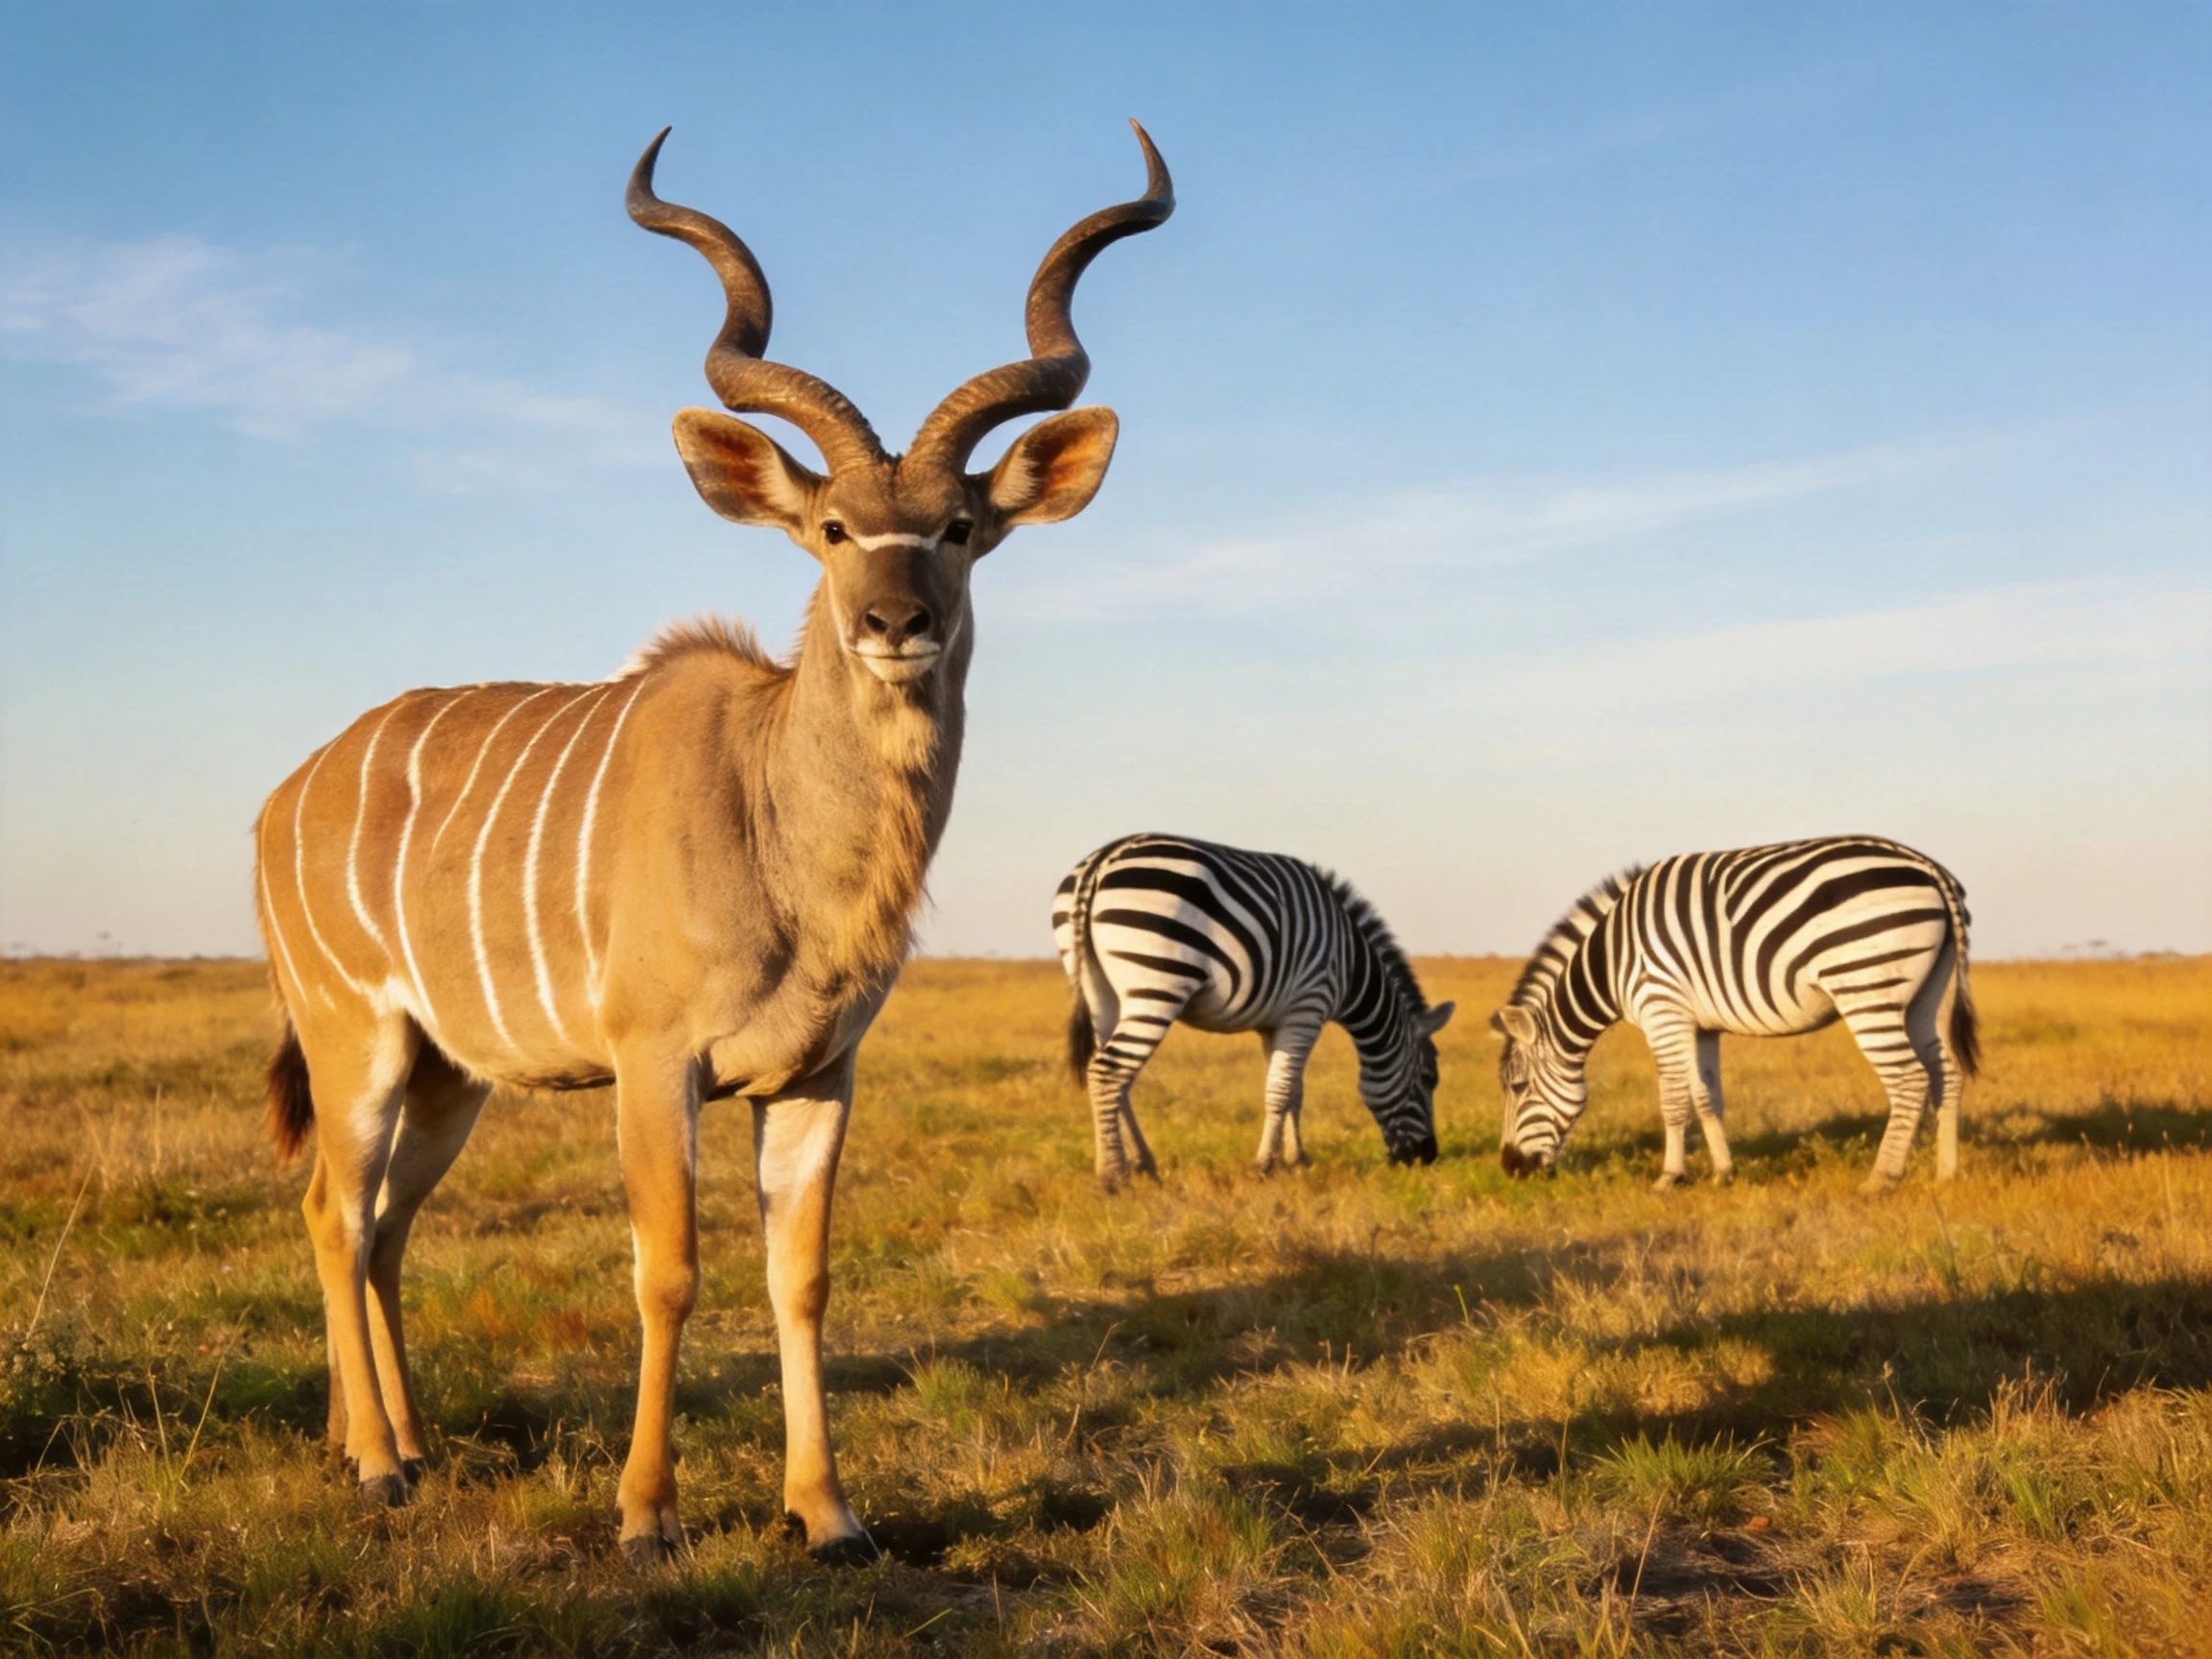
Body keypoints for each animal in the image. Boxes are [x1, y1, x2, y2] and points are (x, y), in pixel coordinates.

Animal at [1053, 833, 1456, 1189]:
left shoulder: (1275, 1022)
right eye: (1428, 1079)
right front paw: (1264, 1166)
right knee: (1108, 1072)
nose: (1427, 1158)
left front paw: (1296, 1160)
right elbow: (1280, 1089)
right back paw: (1113, 1176)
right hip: (1157, 986)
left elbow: (1294, 1090)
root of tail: (1101, 861)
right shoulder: (1307, 1008)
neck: (1350, 964)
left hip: (1099, 991)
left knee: (1112, 1075)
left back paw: (1143, 1164)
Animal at [1492, 836, 1978, 1192]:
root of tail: (1927, 866)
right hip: (1926, 995)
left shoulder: (1662, 1009)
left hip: (1866, 988)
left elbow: (1672, 1099)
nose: (1510, 1168)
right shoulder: (1700, 1025)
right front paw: (1723, 1172)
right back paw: (1947, 1173)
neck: (1612, 960)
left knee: (1908, 1079)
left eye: (1518, 1087)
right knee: (1946, 1073)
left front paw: (1669, 1177)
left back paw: (1881, 1179)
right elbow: (1706, 1096)